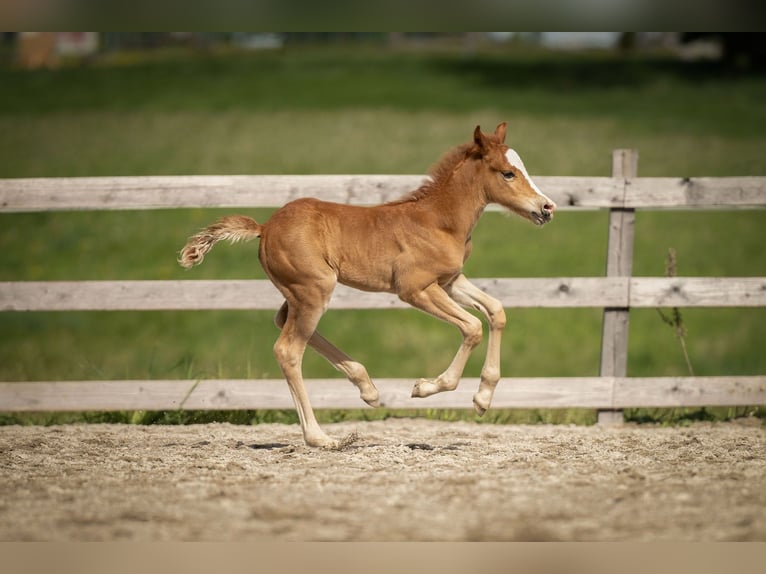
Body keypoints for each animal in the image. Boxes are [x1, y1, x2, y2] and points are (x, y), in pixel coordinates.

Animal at [183, 124, 560, 450]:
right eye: (508, 173)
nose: (547, 207)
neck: (439, 221)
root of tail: (264, 228)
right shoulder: (415, 289)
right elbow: (472, 327)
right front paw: (426, 387)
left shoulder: (450, 281)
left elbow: (496, 311)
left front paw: (482, 399)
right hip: (314, 289)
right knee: (288, 350)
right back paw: (320, 437)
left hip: (301, 292)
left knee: (282, 321)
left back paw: (368, 389)